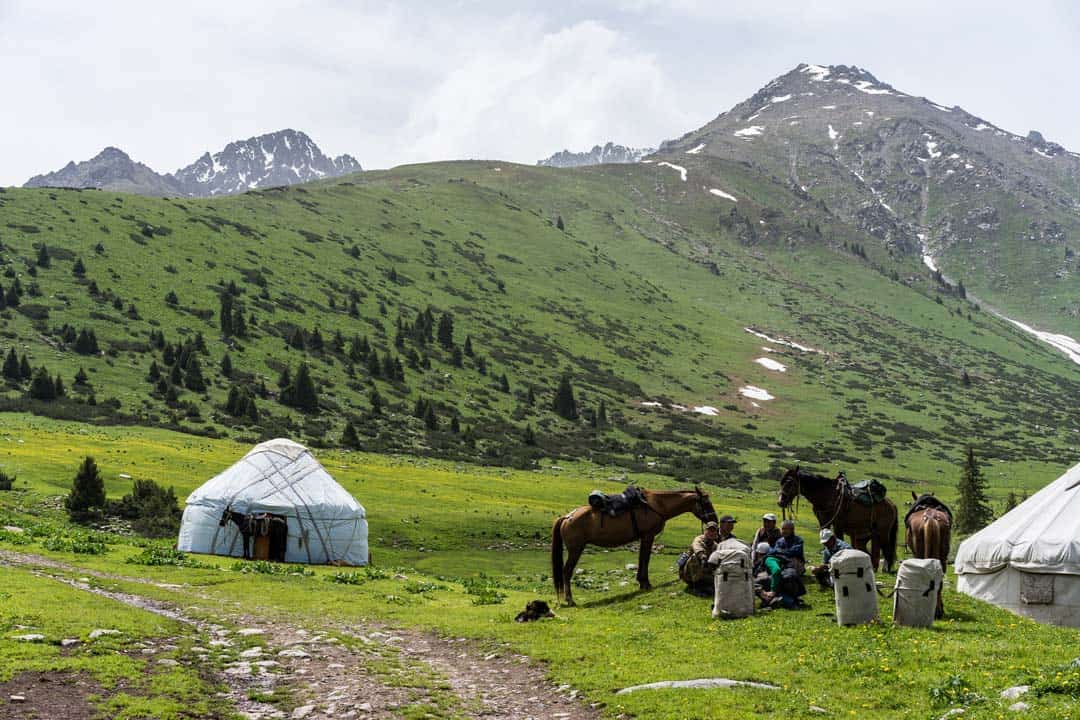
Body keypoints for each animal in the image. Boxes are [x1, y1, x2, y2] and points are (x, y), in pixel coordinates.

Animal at [548, 487, 717, 604]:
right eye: (706, 502)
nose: (714, 520)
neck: (657, 505)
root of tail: (567, 517)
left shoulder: (644, 538)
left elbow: (642, 559)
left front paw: (641, 583)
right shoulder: (648, 536)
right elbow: (645, 559)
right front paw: (645, 583)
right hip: (575, 550)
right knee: (567, 571)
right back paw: (570, 600)